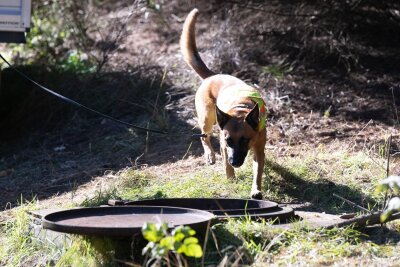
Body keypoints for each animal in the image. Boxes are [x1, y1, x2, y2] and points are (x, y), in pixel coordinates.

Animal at [180, 7, 268, 199]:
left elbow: (257, 172)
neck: (241, 111)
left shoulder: (258, 150)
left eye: (245, 140)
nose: (235, 162)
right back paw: (210, 155)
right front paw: (230, 177)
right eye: (229, 140)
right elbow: (225, 161)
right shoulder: (223, 144)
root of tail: (211, 76)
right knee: (204, 136)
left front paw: (256, 190)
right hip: (208, 118)